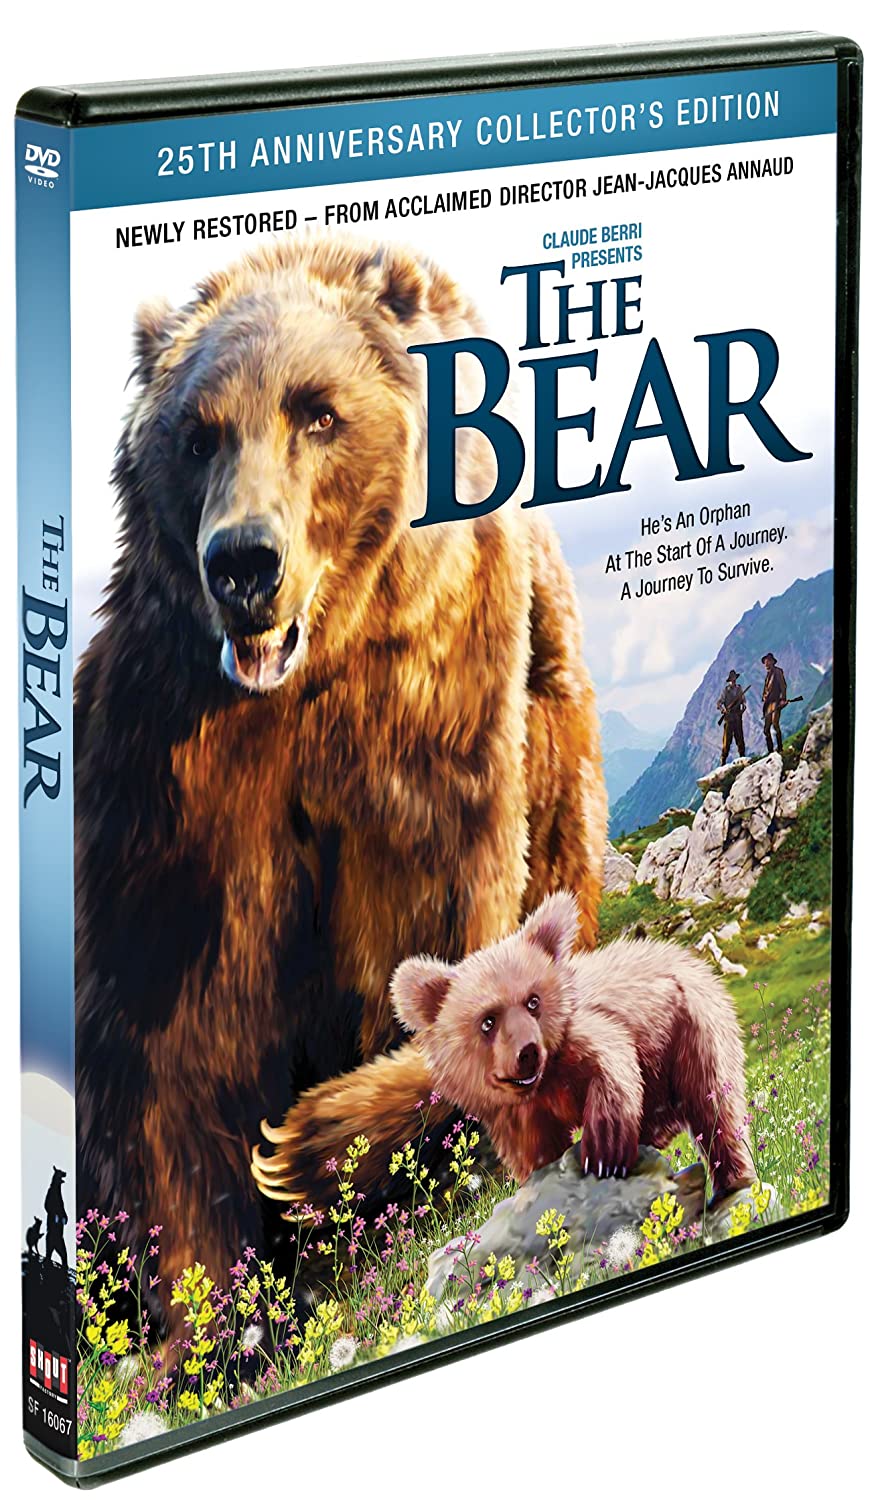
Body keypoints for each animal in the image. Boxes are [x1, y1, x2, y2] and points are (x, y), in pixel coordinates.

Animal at [74, 236, 607, 1321]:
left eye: (317, 411)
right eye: (197, 436)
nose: (242, 562)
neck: (310, 688)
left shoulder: (428, 740)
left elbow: (448, 955)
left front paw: (309, 1148)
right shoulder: (167, 776)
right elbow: (166, 1046)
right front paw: (209, 1306)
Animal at [386, 891, 753, 1194]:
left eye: (533, 1001)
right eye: (488, 1021)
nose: (527, 1052)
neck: (544, 1083)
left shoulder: (585, 1036)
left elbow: (612, 1064)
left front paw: (603, 1153)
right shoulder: (517, 1115)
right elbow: (535, 1149)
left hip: (694, 1028)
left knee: (715, 1110)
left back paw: (734, 1181)